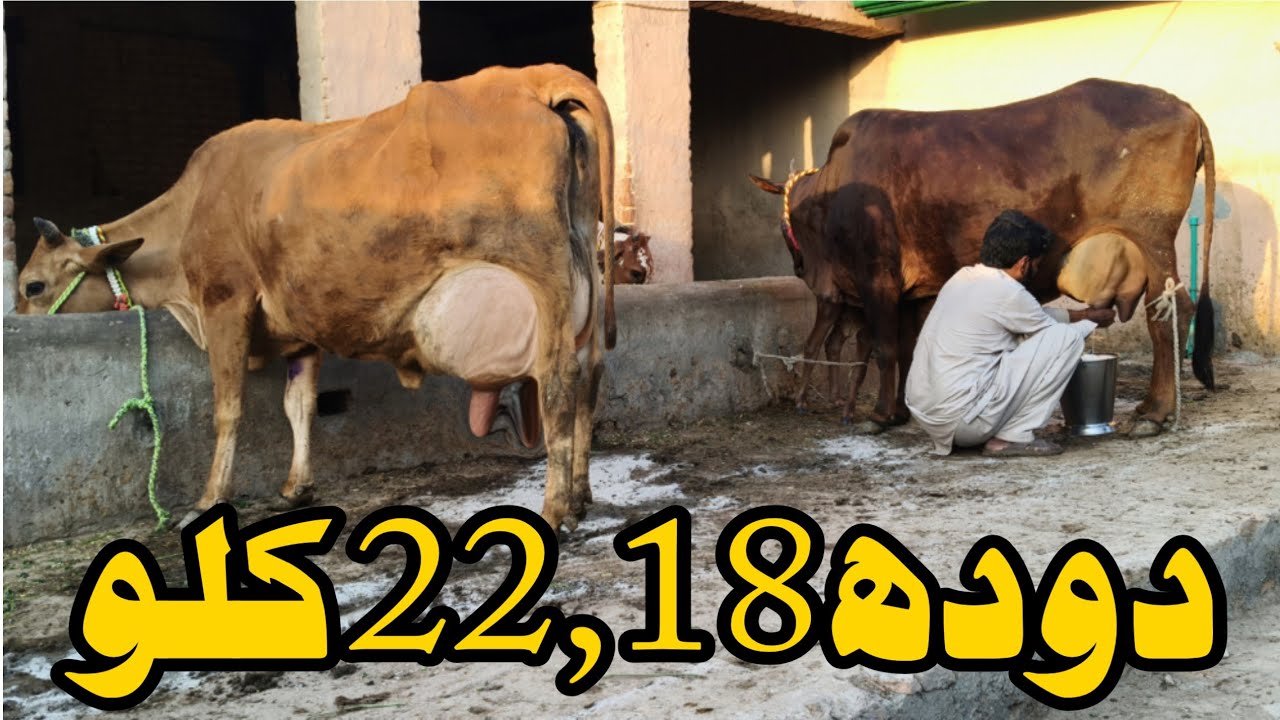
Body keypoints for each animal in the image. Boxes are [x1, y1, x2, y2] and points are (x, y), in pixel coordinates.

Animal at [16, 64, 616, 533]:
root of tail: (535, 81)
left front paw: (209, 499)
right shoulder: (299, 326)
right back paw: (580, 498)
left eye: (32, 286)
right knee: (591, 372)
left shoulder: (226, 302)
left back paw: (555, 509)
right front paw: (297, 487)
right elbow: (299, 404)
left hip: (542, 277)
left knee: (560, 380)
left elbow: (228, 408)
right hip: (581, 280)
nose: (17, 317)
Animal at [751, 78, 1215, 437]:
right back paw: (1149, 407)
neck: (832, 192)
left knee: (1169, 314)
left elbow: (885, 348)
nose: (798, 267)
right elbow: (906, 349)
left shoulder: (877, 277)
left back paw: (1156, 413)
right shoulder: (911, 291)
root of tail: (1185, 107)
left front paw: (879, 415)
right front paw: (899, 411)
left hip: (1152, 236)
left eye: (784, 228)